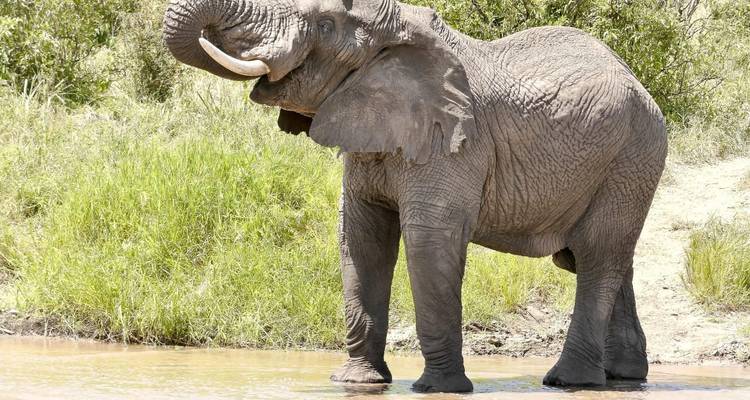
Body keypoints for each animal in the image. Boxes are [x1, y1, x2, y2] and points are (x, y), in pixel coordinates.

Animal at [163, 0, 667, 393]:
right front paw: (356, 383)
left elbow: (429, 241)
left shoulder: (455, 142)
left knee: (598, 255)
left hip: (634, 155)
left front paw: (438, 388)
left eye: (325, 26)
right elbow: (360, 239)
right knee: (596, 259)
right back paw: (623, 378)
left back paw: (568, 381)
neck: (398, 32)